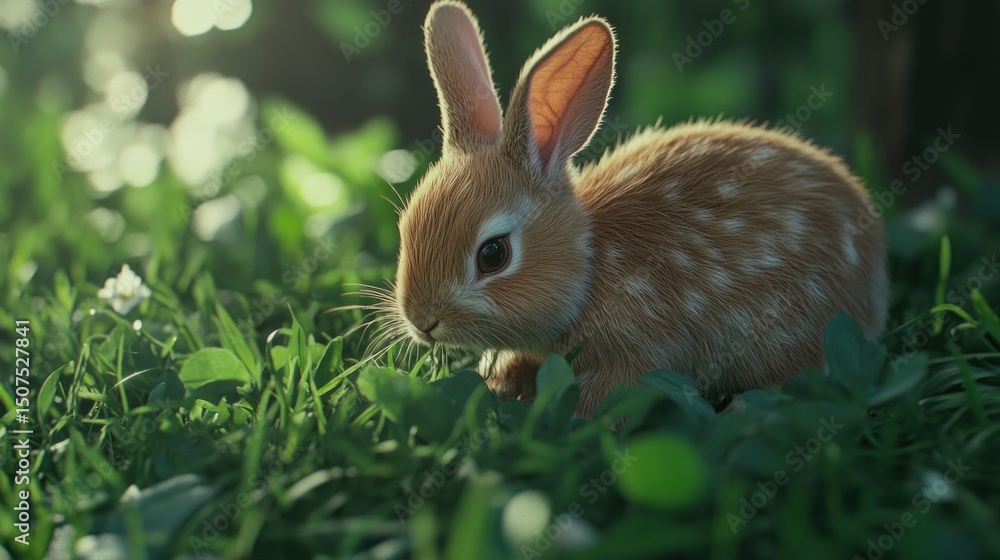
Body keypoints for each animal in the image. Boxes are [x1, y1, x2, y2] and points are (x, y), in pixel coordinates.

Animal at [387, 0, 888, 419]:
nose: (423, 322)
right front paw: (499, 384)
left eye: (493, 254)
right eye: (404, 227)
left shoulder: (643, 347)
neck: (592, 268)